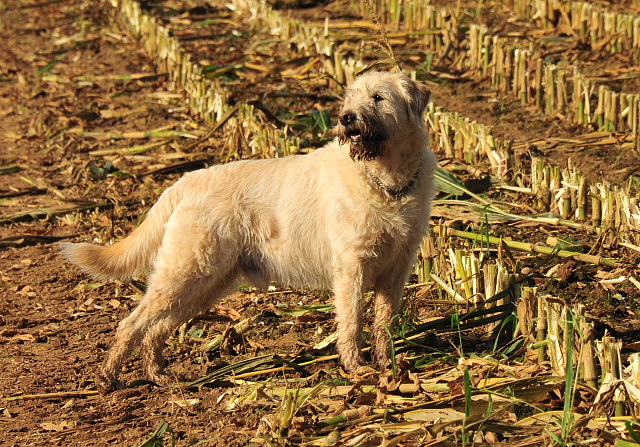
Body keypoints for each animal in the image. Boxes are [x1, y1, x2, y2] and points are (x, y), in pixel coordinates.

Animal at [60, 71, 438, 388]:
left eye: (378, 97)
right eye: (351, 98)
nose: (346, 118)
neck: (386, 181)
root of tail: (184, 181)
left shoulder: (396, 270)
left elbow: (383, 322)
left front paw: (387, 364)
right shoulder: (351, 269)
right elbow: (351, 322)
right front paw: (356, 367)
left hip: (204, 284)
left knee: (156, 329)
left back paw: (159, 376)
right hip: (182, 274)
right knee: (131, 323)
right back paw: (107, 379)